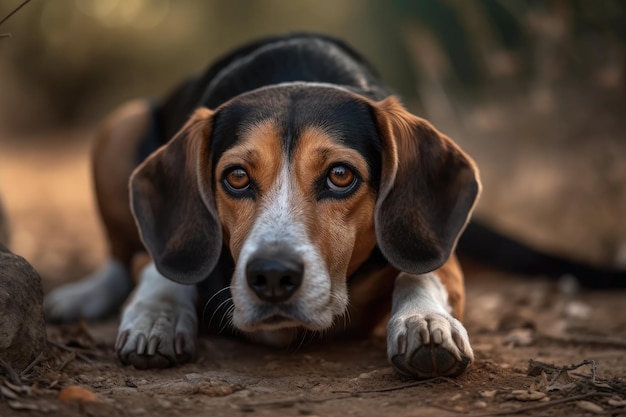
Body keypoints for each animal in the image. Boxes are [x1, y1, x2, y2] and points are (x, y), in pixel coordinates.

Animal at [44, 33, 480, 376]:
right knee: (119, 258)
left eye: (341, 175)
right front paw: (157, 315)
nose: (271, 275)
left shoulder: (435, 250)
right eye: (236, 177)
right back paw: (82, 296)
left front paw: (426, 320)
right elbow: (158, 269)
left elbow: (421, 273)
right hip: (122, 123)